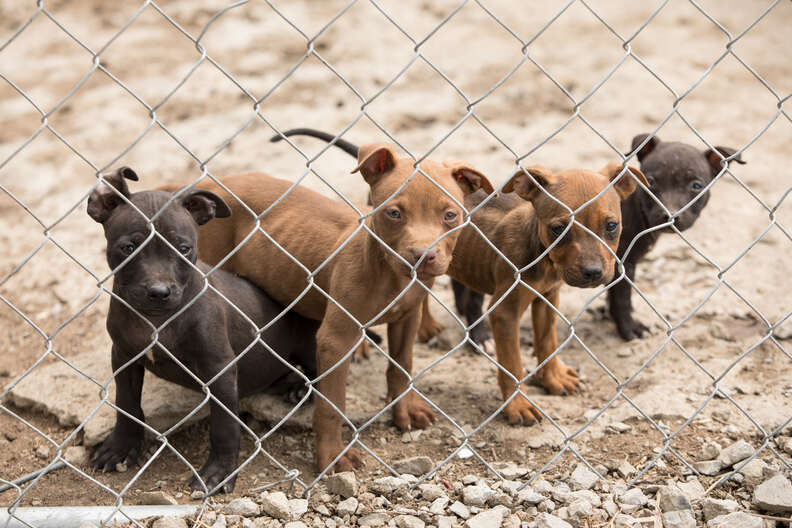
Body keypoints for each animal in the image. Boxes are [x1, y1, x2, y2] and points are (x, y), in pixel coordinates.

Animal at [276, 131, 648, 424]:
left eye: (611, 226)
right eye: (559, 228)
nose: (593, 273)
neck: (540, 252)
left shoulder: (548, 298)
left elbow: (547, 342)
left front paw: (553, 378)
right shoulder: (504, 313)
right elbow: (512, 363)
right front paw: (517, 406)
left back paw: (426, 326)